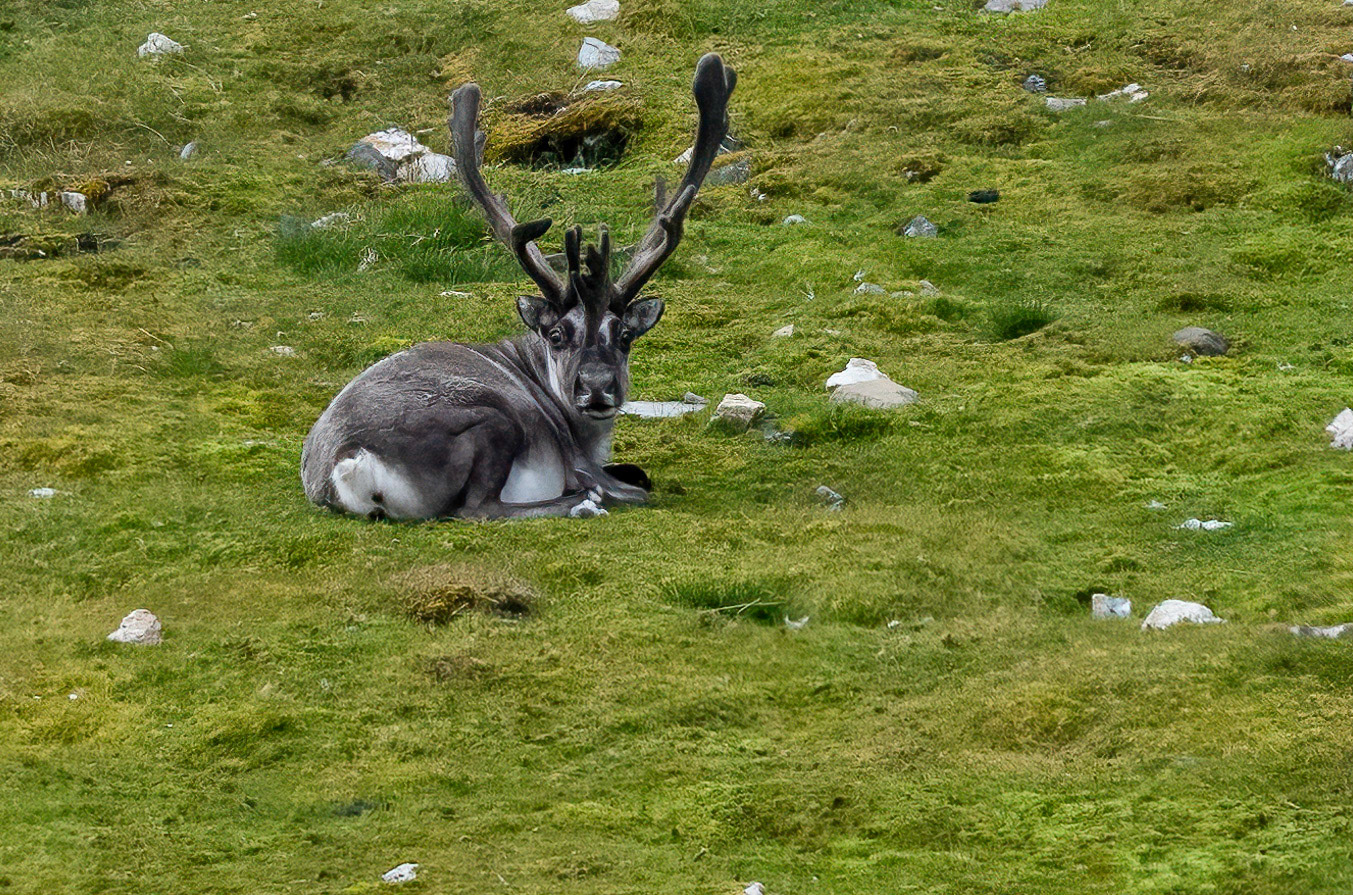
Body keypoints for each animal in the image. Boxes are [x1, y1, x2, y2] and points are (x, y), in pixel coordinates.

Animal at [301, 53, 737, 520]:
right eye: (557, 335)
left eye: (625, 335)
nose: (596, 386)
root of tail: (349, 460)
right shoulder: (578, 460)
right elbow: (638, 485)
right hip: (493, 422)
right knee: (480, 508)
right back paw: (581, 502)